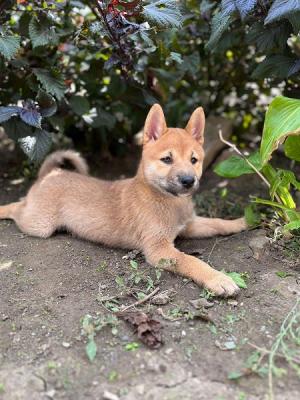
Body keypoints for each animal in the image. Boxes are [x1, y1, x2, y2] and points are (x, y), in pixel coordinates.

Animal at [0, 104, 246, 296]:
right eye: (167, 159)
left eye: (194, 160)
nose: (188, 181)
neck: (165, 200)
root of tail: (50, 174)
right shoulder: (159, 250)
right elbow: (192, 261)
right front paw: (218, 279)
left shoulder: (189, 226)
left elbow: (217, 223)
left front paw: (241, 222)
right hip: (39, 225)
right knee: (17, 207)